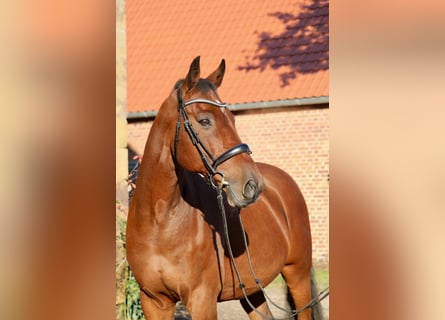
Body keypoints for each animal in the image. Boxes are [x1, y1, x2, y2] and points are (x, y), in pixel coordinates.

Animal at [126, 57, 320, 320]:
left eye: (233, 119)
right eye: (205, 121)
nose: (253, 184)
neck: (159, 221)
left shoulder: (202, 301)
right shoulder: (154, 301)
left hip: (297, 275)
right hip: (251, 288)